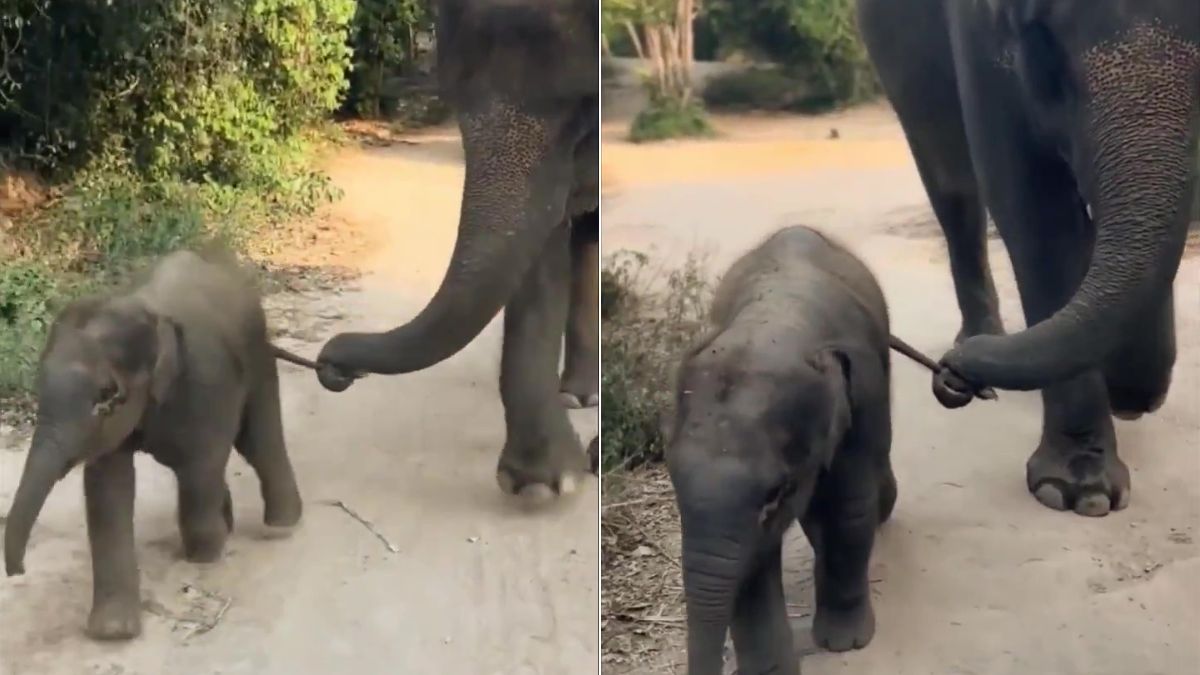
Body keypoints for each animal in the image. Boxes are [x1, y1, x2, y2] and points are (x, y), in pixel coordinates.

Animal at [3, 249, 303, 640]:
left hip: (258, 357)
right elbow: (107, 487)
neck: (142, 309)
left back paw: (280, 525)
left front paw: (203, 555)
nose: (18, 571)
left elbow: (202, 463)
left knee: (257, 440)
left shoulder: (206, 380)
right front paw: (113, 631)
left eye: (106, 397)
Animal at [314, 0, 599, 499]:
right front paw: (543, 484)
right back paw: (577, 395)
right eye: (454, 100)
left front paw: (561, 478)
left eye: (585, 110)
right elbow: (541, 255)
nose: (333, 367)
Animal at [667, 226, 897, 675]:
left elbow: (849, 508)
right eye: (673, 481)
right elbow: (752, 561)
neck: (774, 322)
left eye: (775, 494)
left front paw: (844, 644)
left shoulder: (864, 395)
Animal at [856, 0, 1200, 516]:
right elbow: (1033, 203)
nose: (952, 375)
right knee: (951, 179)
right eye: (1044, 36)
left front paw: (1131, 389)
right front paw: (1079, 493)